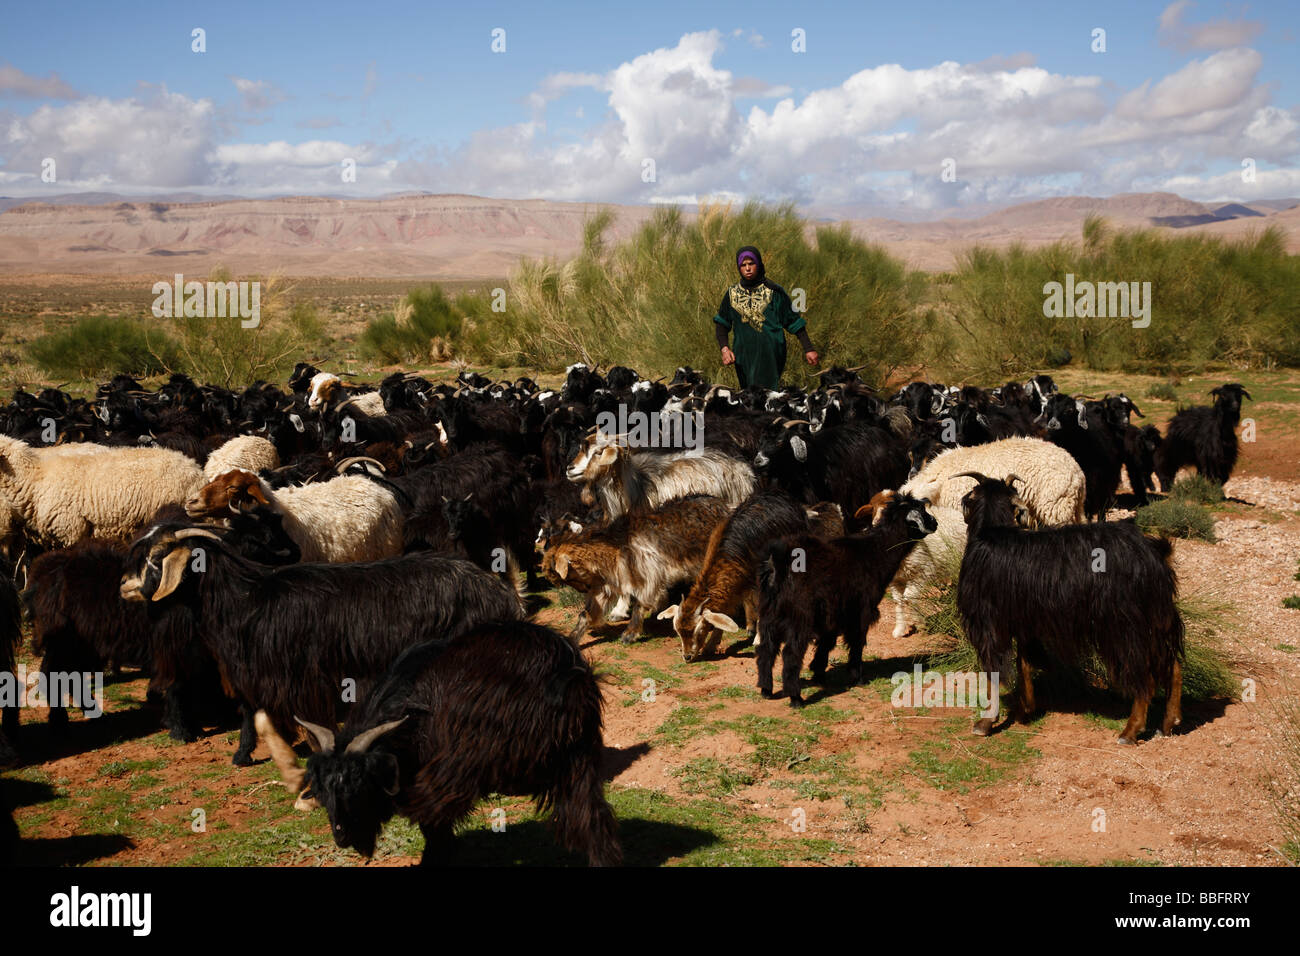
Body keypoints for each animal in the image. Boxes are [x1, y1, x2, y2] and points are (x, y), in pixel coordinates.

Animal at [297, 616, 618, 868]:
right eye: (322, 788)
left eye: (359, 783)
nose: (341, 835)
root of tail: (566, 674)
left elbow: (434, 829)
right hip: (579, 759)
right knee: (591, 819)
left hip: (467, 764)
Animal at [951, 476, 1185, 743]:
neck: (991, 532)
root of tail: (1153, 553)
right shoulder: (1025, 622)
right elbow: (1025, 664)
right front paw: (1025, 710)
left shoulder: (988, 622)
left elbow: (995, 673)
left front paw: (985, 723)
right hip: (1155, 618)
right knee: (1172, 666)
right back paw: (1169, 723)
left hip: (1125, 626)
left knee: (1144, 677)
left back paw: (1130, 731)